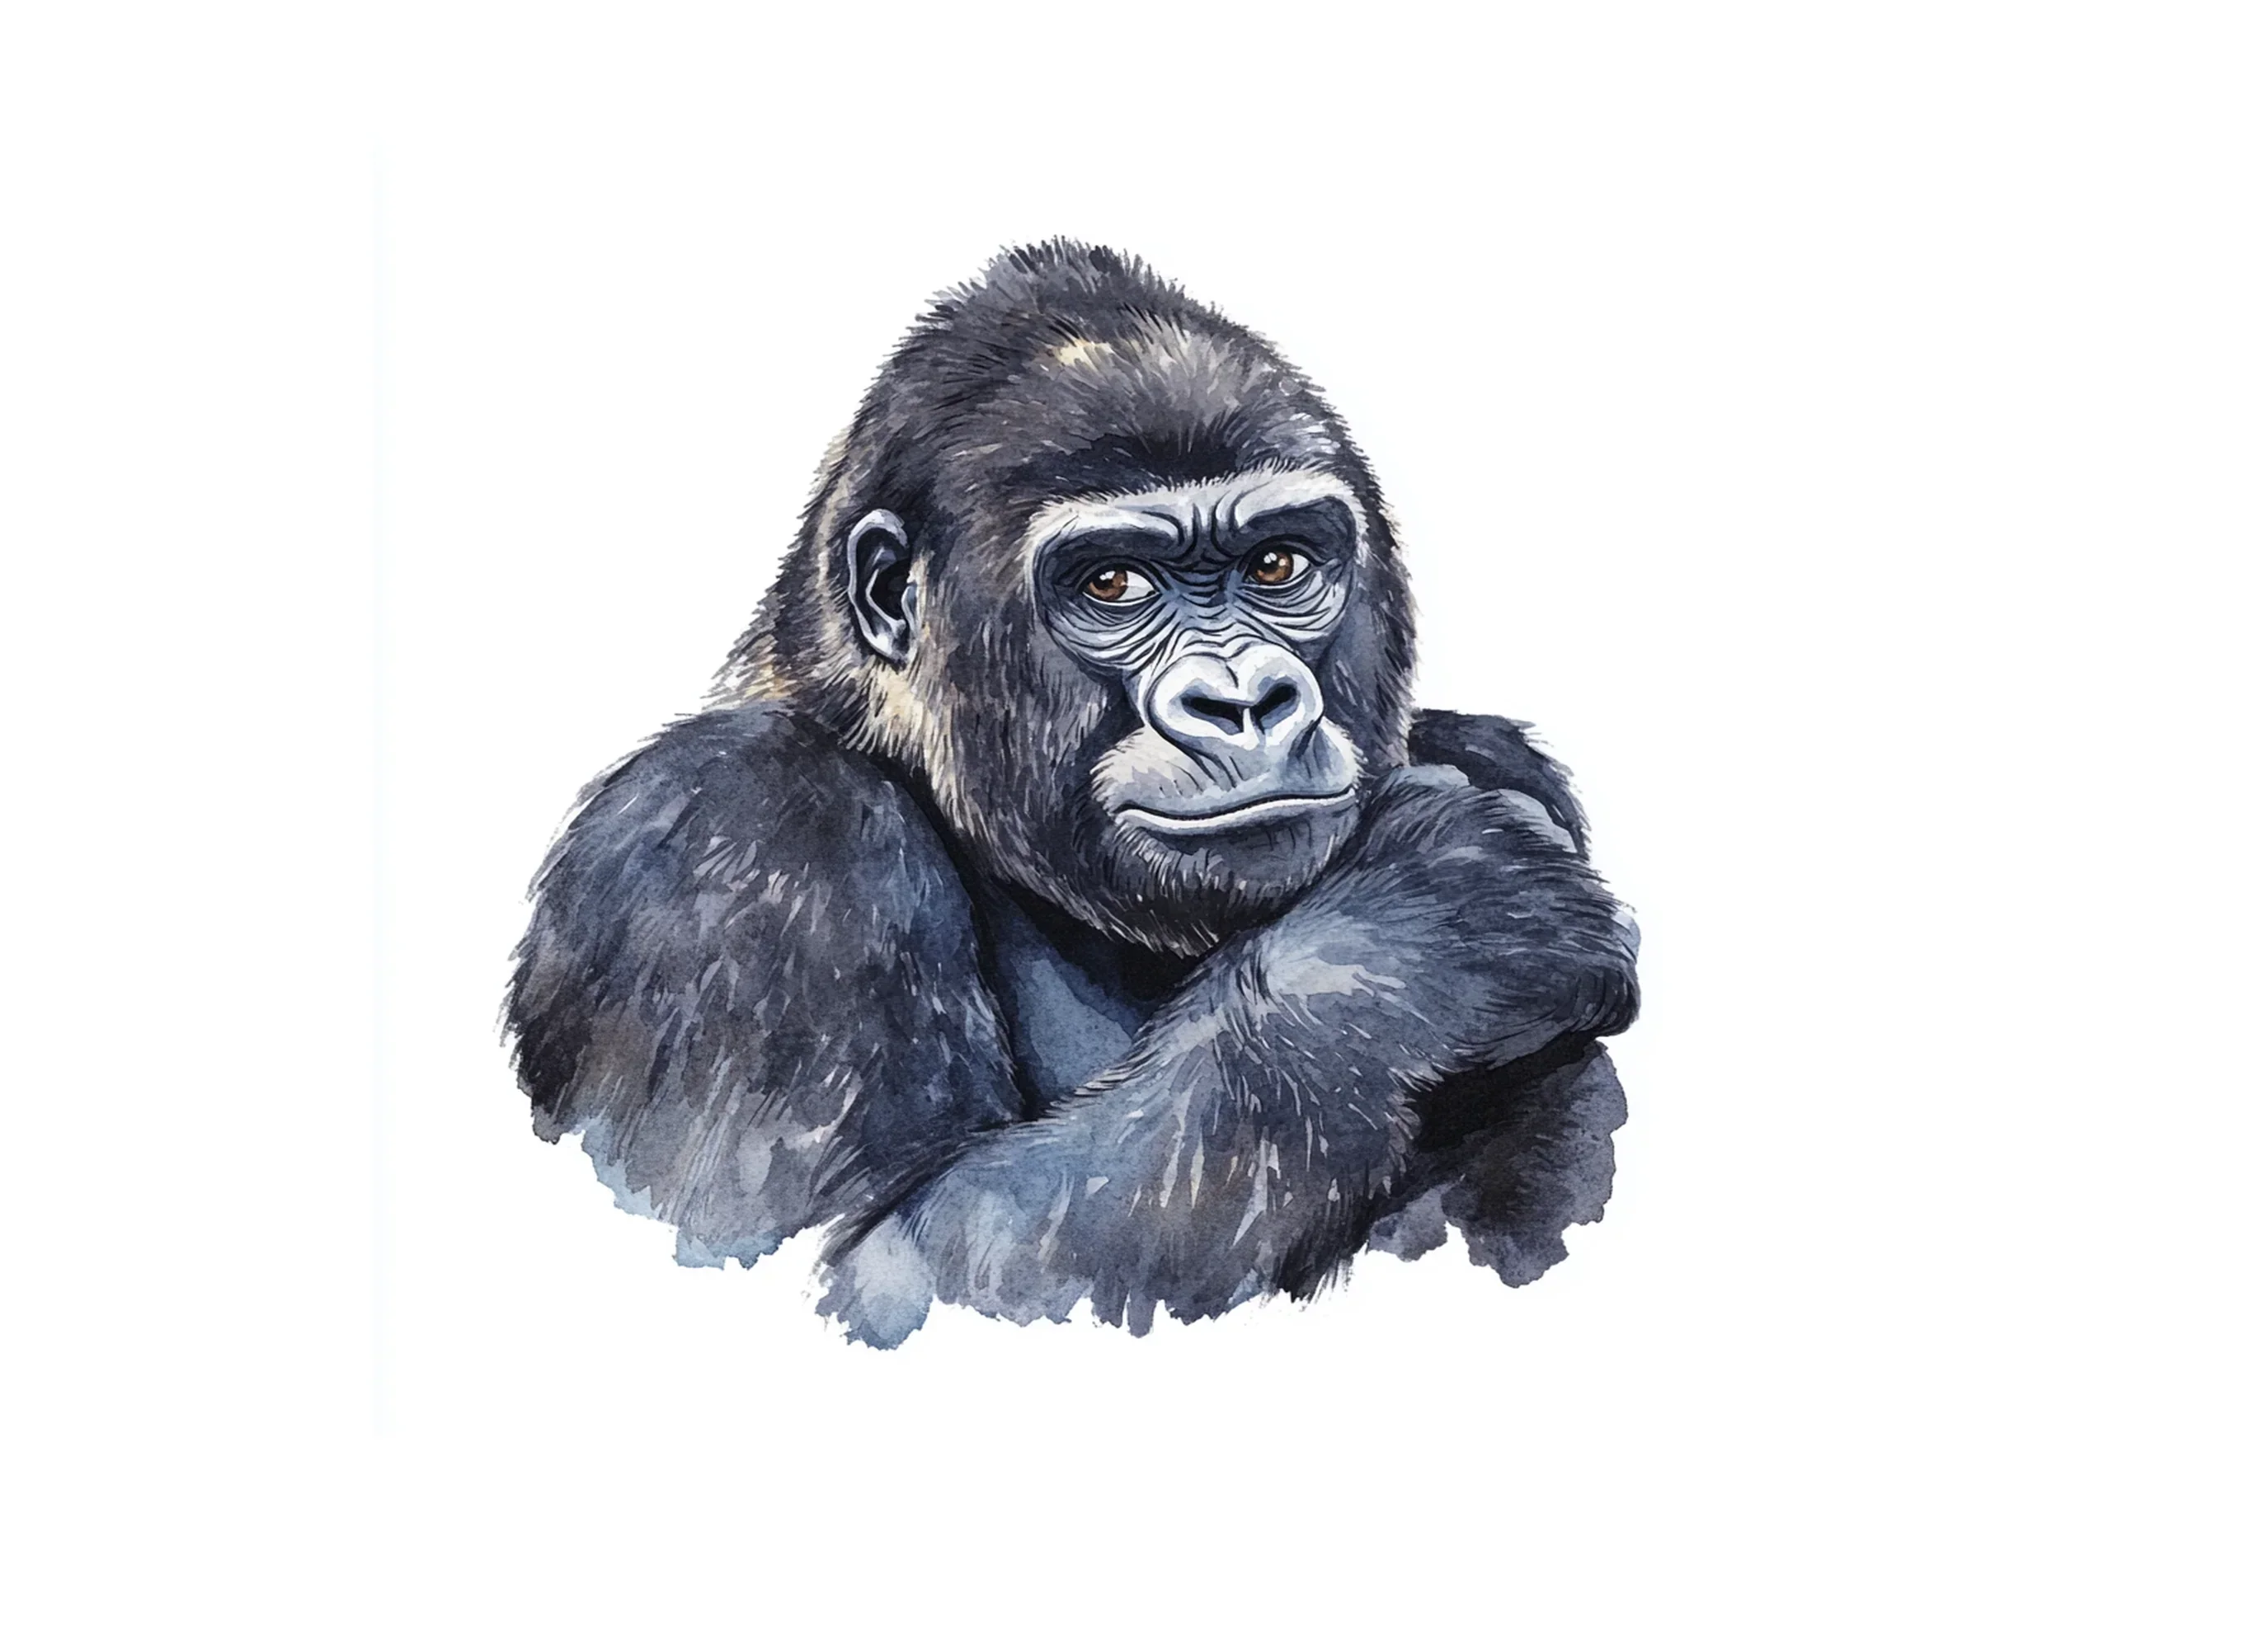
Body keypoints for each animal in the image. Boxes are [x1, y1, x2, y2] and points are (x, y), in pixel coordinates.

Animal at [507, 240, 1638, 1345]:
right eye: (1112, 584)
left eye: (1278, 563)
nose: (1243, 701)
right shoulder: (739, 836)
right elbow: (855, 1259)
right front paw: (1403, 945)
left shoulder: (1504, 759)